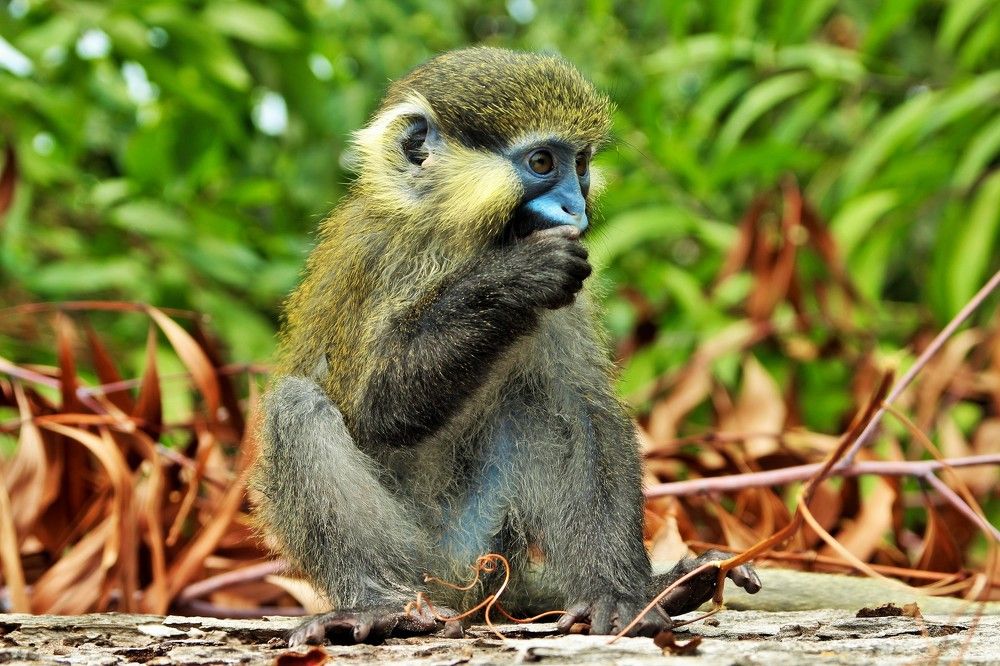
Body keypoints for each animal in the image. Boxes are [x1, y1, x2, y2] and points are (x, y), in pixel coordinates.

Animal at [252, 46, 764, 646]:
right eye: (542, 163)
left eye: (580, 165)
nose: (575, 210)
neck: (462, 234)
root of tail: (460, 591)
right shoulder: (380, 257)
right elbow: (377, 410)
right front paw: (515, 277)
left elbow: (584, 406)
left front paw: (619, 595)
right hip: (428, 560)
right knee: (296, 406)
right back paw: (376, 603)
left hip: (478, 543)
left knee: (549, 405)